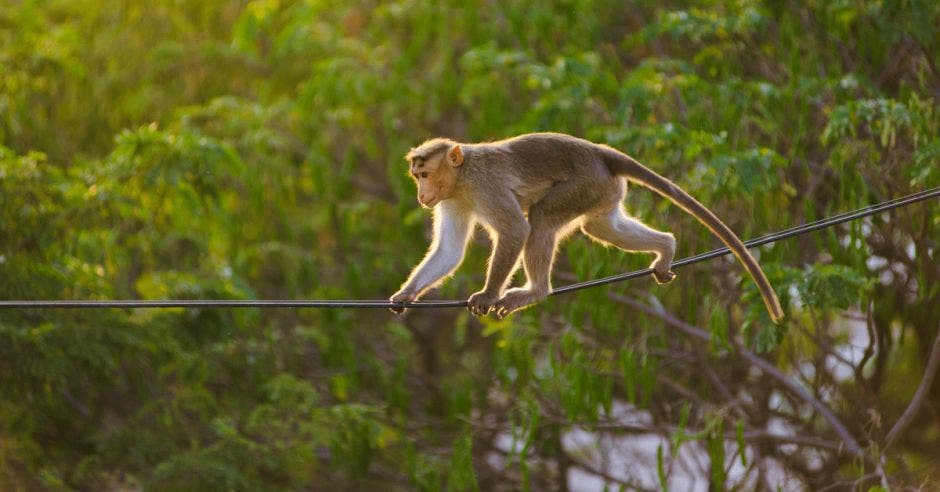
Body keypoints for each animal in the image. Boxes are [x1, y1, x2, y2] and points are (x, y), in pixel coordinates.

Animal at [390, 133, 784, 322]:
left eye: (423, 174)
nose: (422, 195)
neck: (462, 176)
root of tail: (600, 153)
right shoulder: (452, 199)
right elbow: (450, 251)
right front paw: (407, 293)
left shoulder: (484, 185)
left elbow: (515, 230)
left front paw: (487, 294)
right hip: (603, 190)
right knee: (601, 227)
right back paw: (666, 246)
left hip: (584, 184)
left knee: (542, 219)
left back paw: (537, 292)